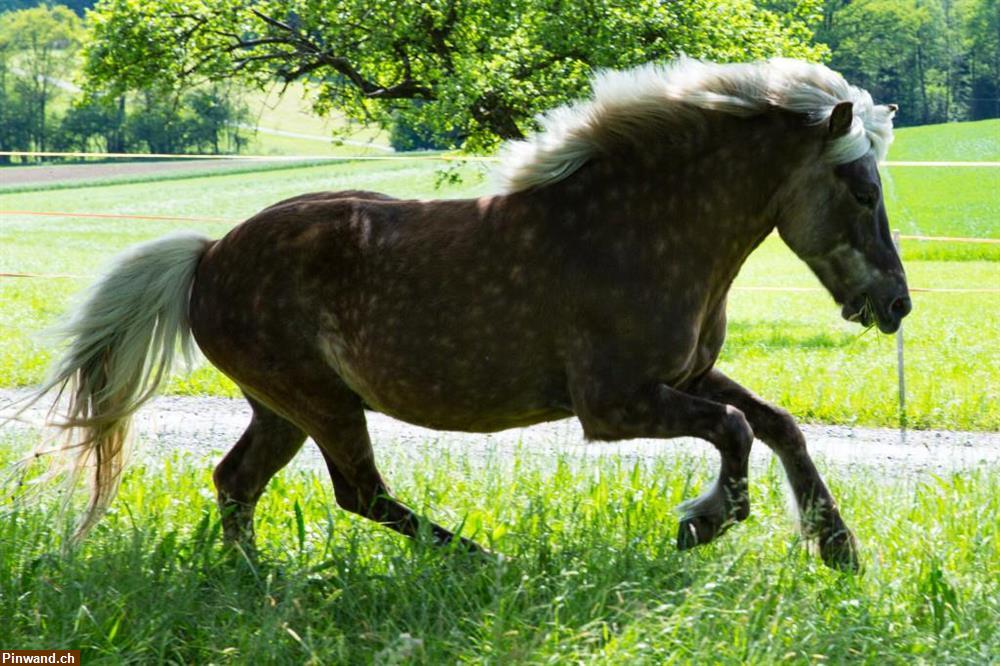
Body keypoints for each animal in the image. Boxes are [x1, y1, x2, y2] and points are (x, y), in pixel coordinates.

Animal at [29, 58, 908, 572]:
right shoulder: (615, 404)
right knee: (359, 492)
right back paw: (484, 561)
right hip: (322, 401)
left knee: (237, 480)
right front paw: (704, 522)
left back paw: (256, 579)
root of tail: (208, 254)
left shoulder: (685, 373)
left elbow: (776, 423)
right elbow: (733, 430)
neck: (638, 227)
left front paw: (837, 547)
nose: (895, 304)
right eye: (862, 189)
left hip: (281, 407)